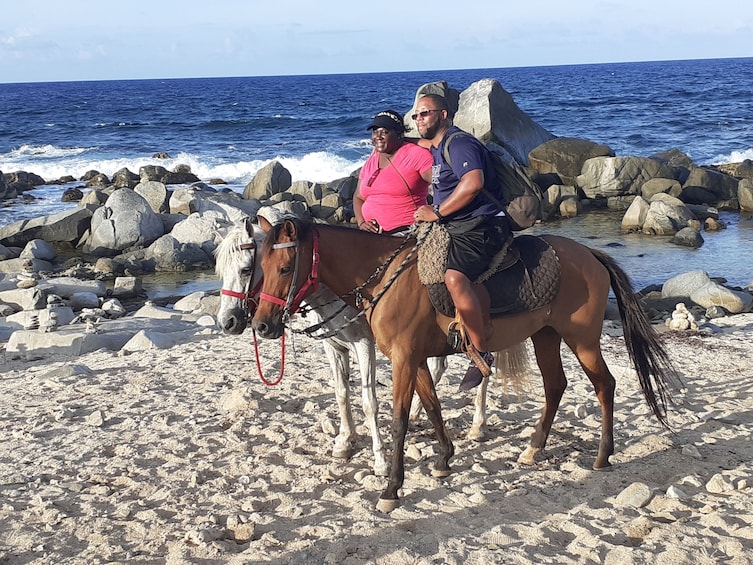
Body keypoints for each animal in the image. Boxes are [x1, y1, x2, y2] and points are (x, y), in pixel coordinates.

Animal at [214, 218, 494, 474]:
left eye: (247, 269)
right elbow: (341, 393)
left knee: (484, 367)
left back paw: (477, 425)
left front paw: (380, 460)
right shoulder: (334, 346)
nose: (227, 322)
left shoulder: (364, 345)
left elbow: (369, 401)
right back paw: (417, 413)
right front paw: (345, 440)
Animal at [251, 218, 676, 512]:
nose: (262, 325)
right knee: (556, 386)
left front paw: (391, 488)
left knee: (605, 385)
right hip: (545, 336)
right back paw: (534, 449)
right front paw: (444, 458)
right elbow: (433, 405)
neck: (387, 278)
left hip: (582, 339)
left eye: (286, 268)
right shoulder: (416, 359)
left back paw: (603, 455)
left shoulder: (404, 359)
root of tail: (591, 256)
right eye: (260, 267)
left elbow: (399, 420)